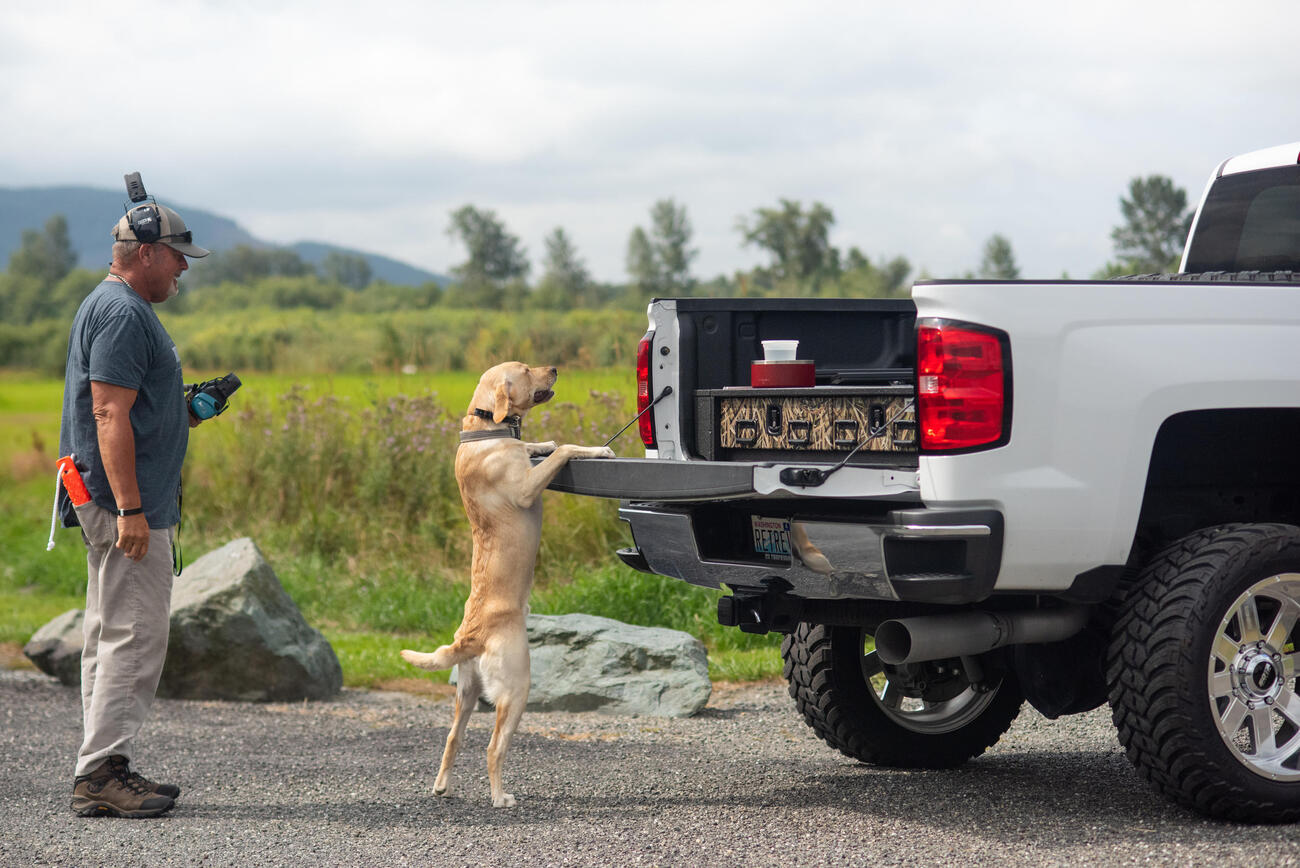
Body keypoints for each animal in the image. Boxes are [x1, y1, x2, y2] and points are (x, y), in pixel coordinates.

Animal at [397, 358, 616, 805]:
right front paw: (596, 448)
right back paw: (501, 796)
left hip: (465, 694)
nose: (554, 367)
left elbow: (539, 445)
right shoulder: (528, 487)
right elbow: (566, 448)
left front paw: (542, 440)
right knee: (493, 747)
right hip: (517, 689)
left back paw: (442, 785)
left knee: (452, 739)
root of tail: (469, 638)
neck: (485, 428)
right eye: (526, 369)